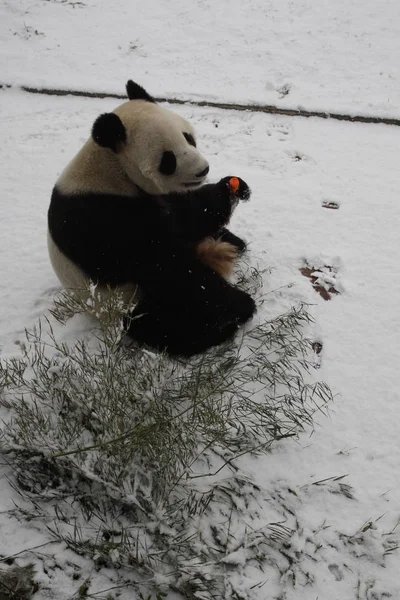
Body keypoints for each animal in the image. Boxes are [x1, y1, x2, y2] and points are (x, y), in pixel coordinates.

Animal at [48, 79, 256, 356]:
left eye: (188, 137)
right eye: (168, 159)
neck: (112, 167)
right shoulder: (99, 217)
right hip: (125, 301)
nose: (204, 170)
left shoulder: (153, 197)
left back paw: (231, 241)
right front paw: (241, 304)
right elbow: (165, 264)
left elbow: (187, 215)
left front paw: (232, 187)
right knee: (168, 323)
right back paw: (217, 329)